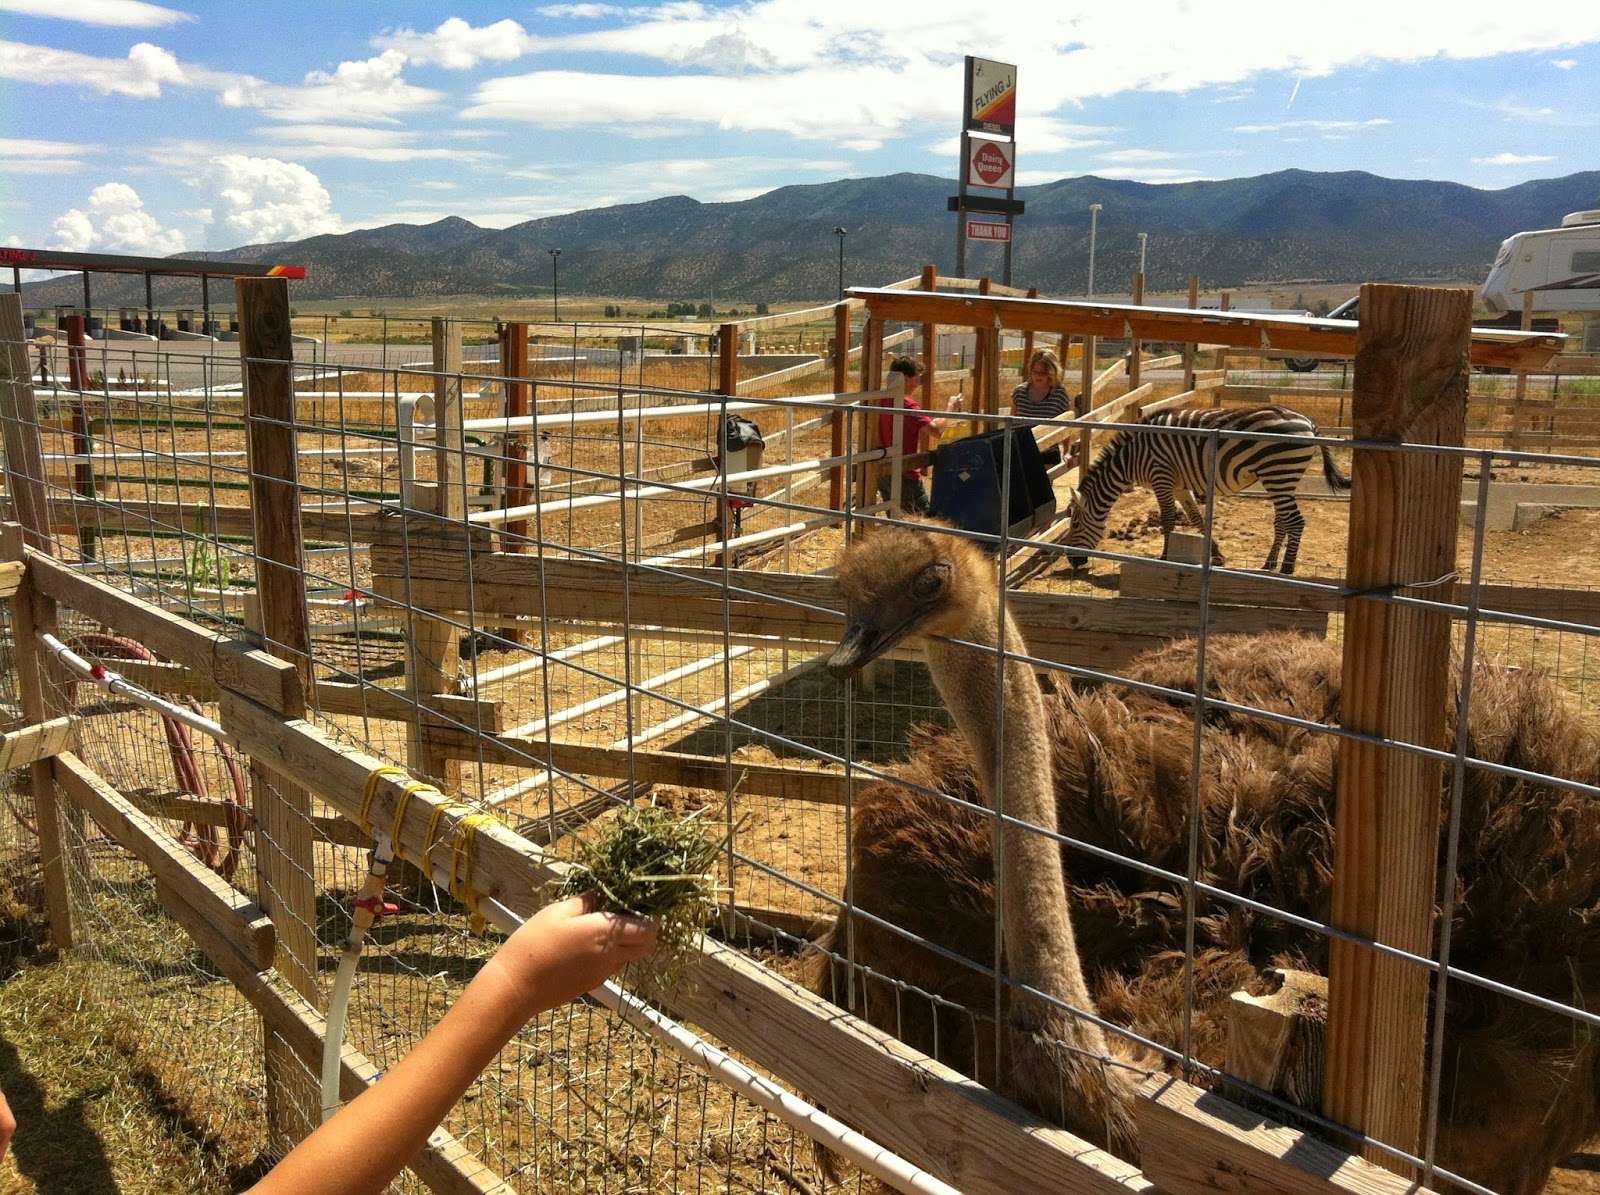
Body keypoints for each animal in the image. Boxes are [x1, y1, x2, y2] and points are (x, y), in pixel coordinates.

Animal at [1065, 405, 1350, 575]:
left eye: (1075, 525)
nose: (1072, 561)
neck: (1131, 458)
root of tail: (1308, 422)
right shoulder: (1179, 485)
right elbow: (1196, 519)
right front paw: (1216, 555)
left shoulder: (1161, 476)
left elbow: (1168, 521)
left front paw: (1165, 558)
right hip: (1281, 478)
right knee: (1282, 520)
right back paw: (1269, 563)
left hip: (1278, 473)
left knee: (1296, 521)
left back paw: (1287, 569)